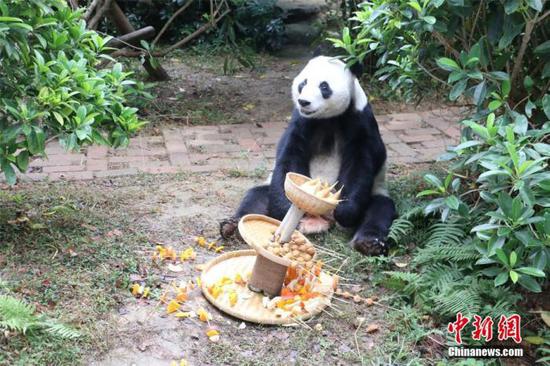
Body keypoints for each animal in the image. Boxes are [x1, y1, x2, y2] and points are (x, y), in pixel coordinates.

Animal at [222, 55, 398, 256]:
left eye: (324, 86)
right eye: (303, 83)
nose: (303, 102)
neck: (327, 119)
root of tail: (319, 218)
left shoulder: (360, 122)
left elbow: (359, 166)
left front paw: (344, 211)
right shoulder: (301, 122)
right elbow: (289, 157)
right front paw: (286, 207)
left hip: (377, 192)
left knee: (380, 210)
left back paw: (369, 243)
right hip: (268, 189)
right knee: (256, 197)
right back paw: (232, 227)